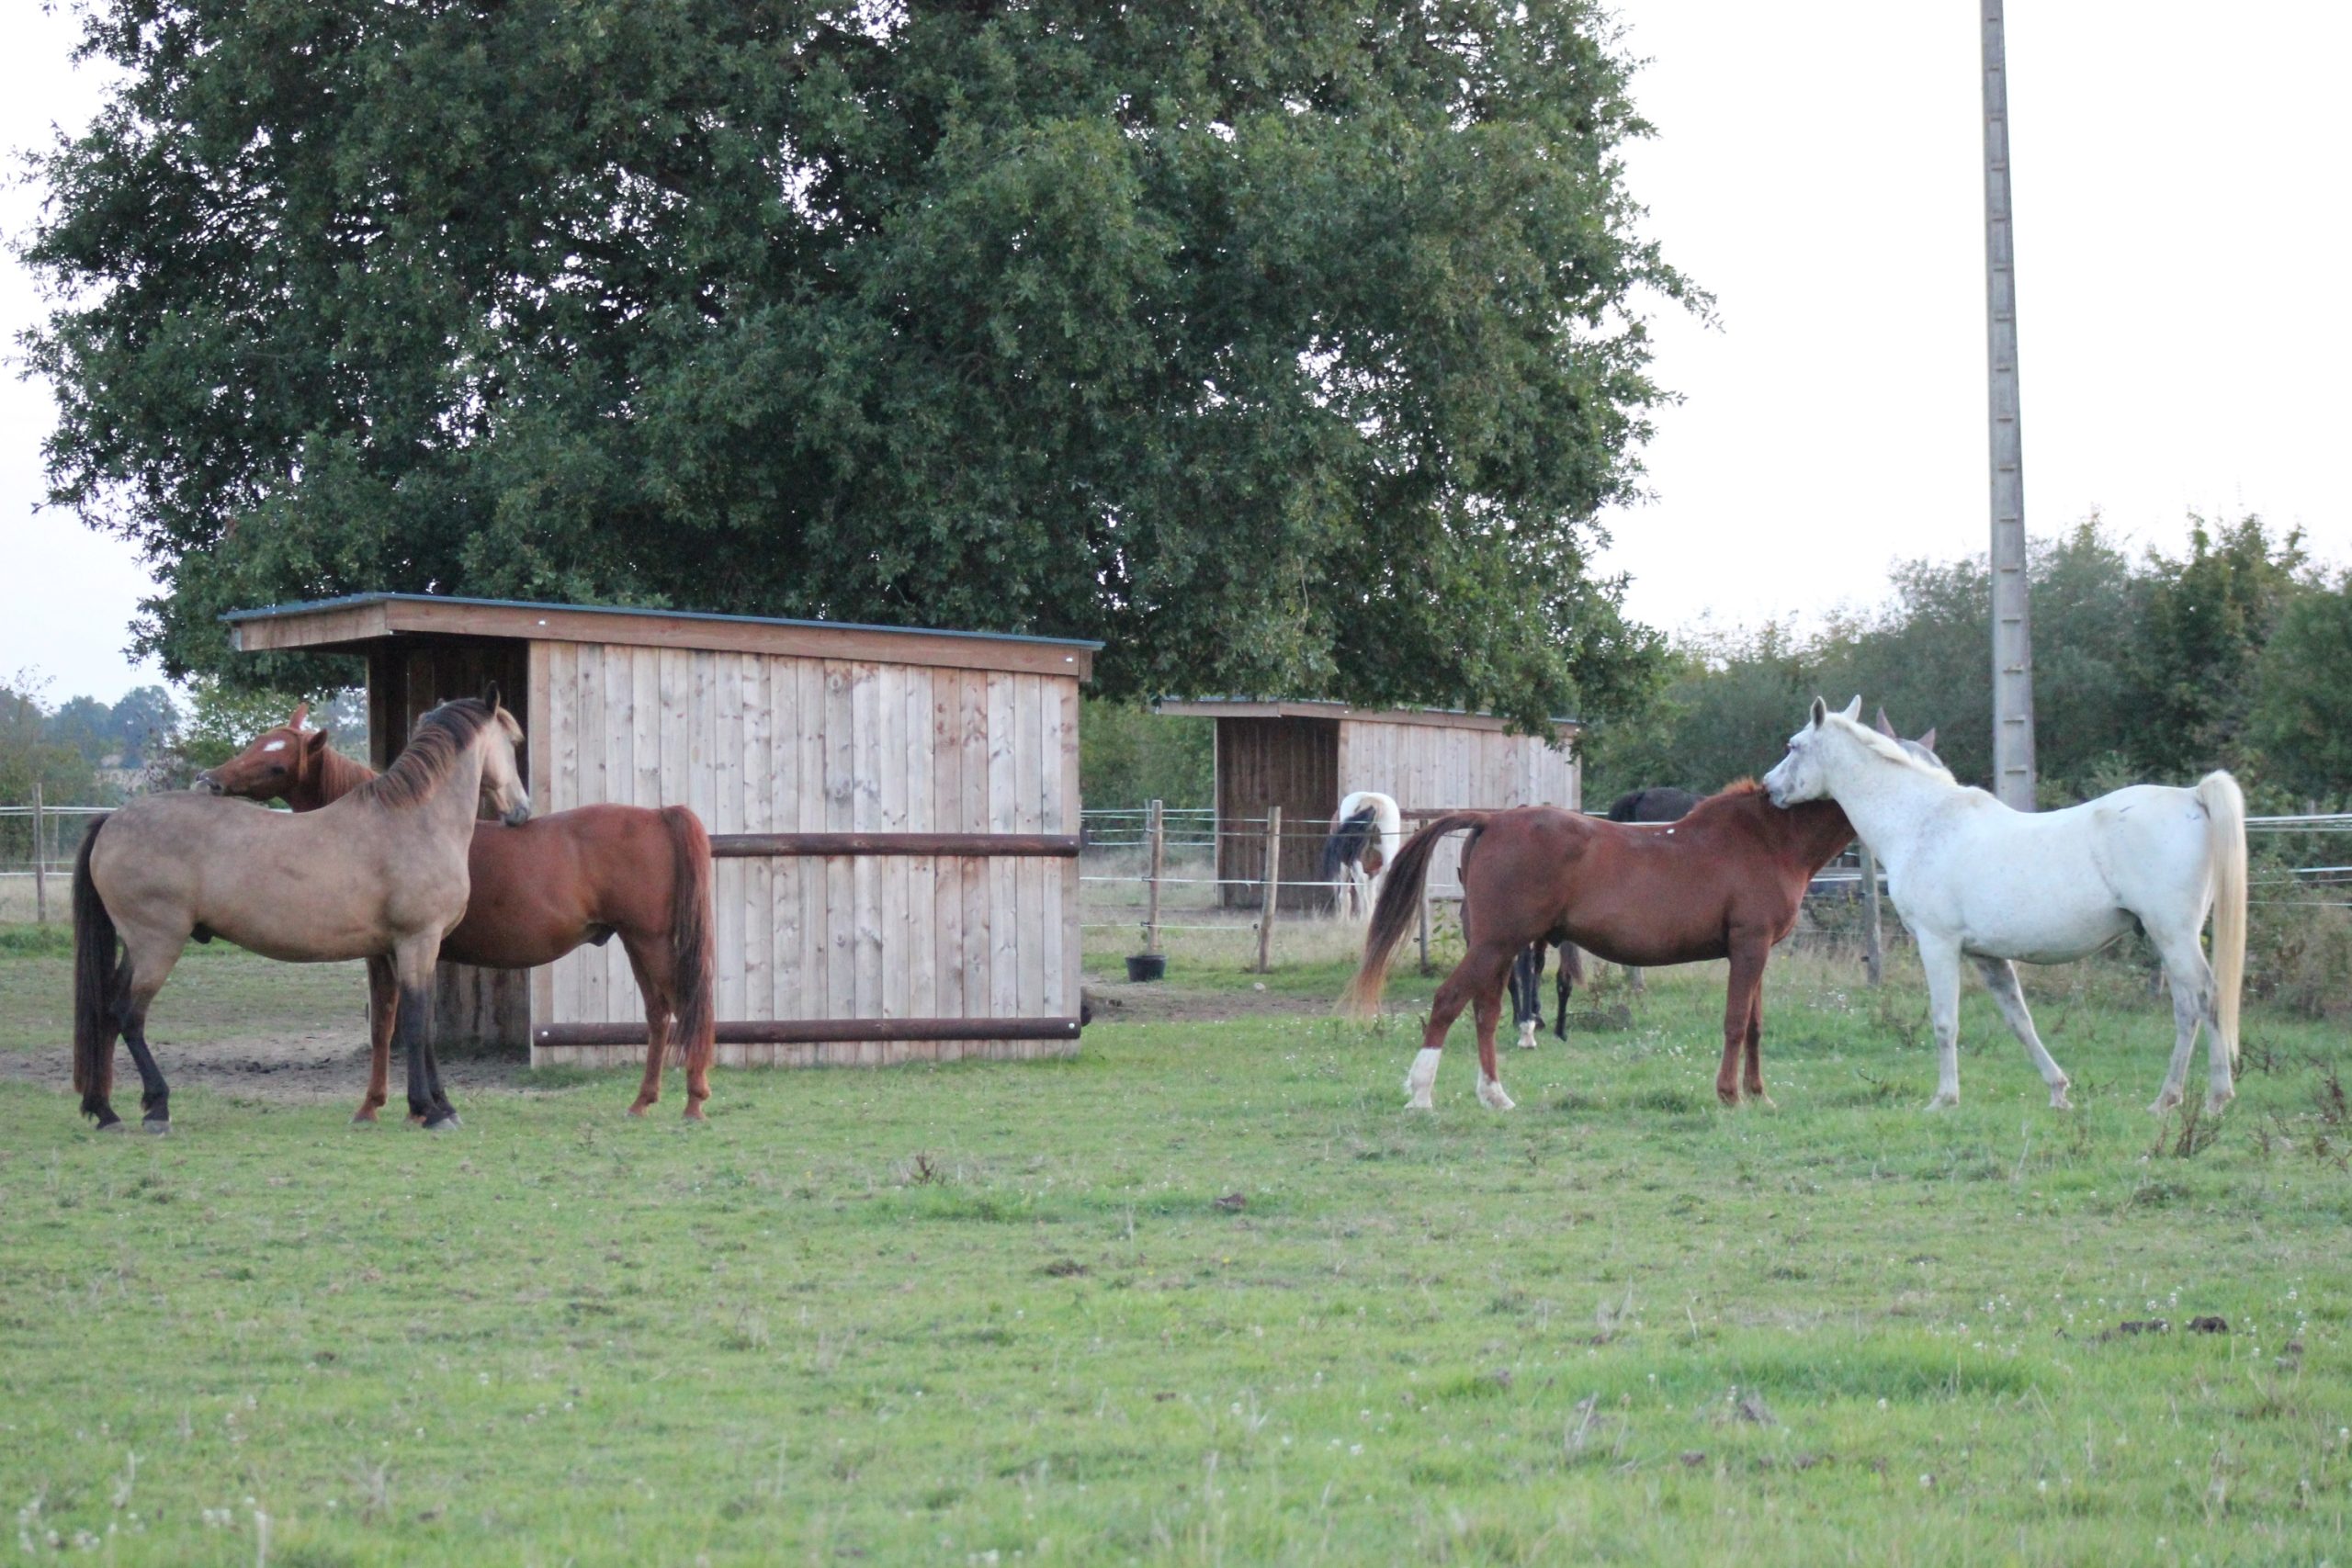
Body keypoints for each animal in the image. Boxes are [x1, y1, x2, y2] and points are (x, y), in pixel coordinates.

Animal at [73, 693, 528, 1133]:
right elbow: (416, 1024)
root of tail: (112, 819)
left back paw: (105, 1112)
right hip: (157, 946)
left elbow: (422, 1025)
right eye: (514, 742)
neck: (415, 821)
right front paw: (427, 1110)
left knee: (107, 1014)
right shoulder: (417, 941)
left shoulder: (407, 950)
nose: (520, 810)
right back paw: (157, 1106)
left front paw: (442, 1106)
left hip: (136, 948)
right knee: (129, 1016)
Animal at [197, 705, 717, 1121]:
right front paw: (392, 1104)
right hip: (636, 942)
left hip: (650, 940)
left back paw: (693, 1100)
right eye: (256, 743)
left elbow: (393, 1024)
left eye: (276, 760)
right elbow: (394, 1024)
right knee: (658, 1014)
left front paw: (388, 1106)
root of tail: (658, 815)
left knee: (686, 1007)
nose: (210, 780)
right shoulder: (394, 952)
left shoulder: (394, 950)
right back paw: (643, 1101)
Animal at [1320, 791, 1403, 920]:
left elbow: (1345, 894)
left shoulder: (1344, 866)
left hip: (1354, 861)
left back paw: (1363, 918)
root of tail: (1372, 801)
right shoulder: (1373, 871)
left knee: (1359, 882)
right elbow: (1371, 892)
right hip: (1387, 856)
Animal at [1341, 782, 1858, 1111]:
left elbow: (1753, 1026)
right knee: (1449, 1001)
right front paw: (1730, 1095)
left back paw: (1495, 1095)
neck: (1769, 837)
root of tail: (1493, 821)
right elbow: (1735, 1023)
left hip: (1500, 948)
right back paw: (1421, 1095)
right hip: (1495, 944)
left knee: (1486, 1013)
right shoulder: (1750, 947)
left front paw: (1757, 1094)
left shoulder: (1757, 952)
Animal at [1763, 696, 2247, 1115]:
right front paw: (2058, 1091)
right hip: (2167, 940)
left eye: (1794, 745)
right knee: (2186, 1009)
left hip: (2174, 935)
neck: (1921, 822)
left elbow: (1945, 1021)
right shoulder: (1987, 956)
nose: (1768, 789)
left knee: (2207, 998)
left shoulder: (1938, 945)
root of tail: (2192, 795)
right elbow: (2020, 1021)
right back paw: (2166, 1099)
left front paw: (1944, 1099)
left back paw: (2216, 1097)